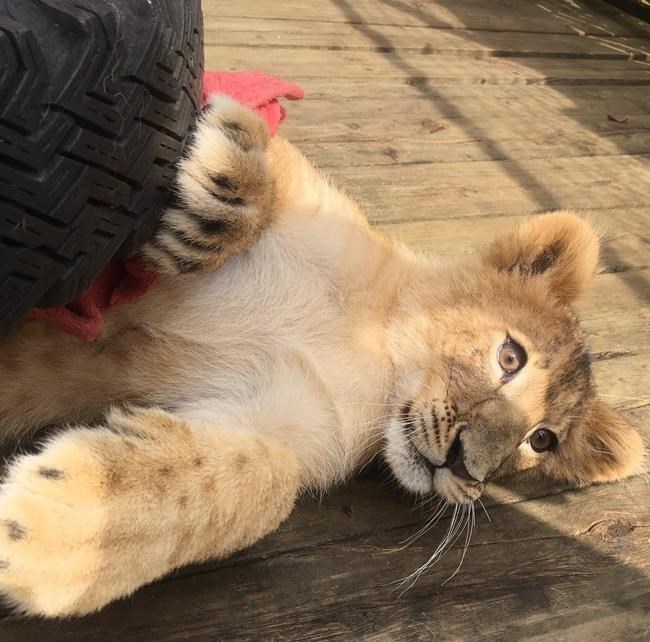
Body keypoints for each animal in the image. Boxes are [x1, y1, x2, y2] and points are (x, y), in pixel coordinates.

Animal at [0, 96, 643, 616]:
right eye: (510, 358)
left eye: (542, 441)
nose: (466, 469)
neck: (371, 354)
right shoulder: (313, 207)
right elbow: (268, 156)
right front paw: (223, 173)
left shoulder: (283, 421)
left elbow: (265, 482)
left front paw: (68, 526)